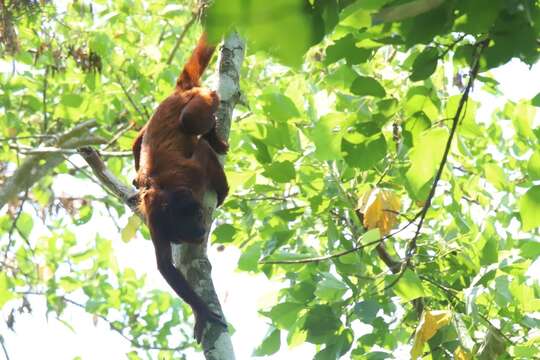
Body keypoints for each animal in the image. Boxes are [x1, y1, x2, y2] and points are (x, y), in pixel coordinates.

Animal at [133, 34, 230, 344]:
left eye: (199, 218)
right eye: (189, 226)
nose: (200, 230)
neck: (170, 196)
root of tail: (178, 92)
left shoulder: (196, 174)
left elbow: (203, 153)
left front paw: (223, 192)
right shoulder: (156, 218)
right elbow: (165, 266)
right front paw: (201, 310)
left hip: (198, 99)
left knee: (194, 118)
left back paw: (213, 133)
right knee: (139, 140)